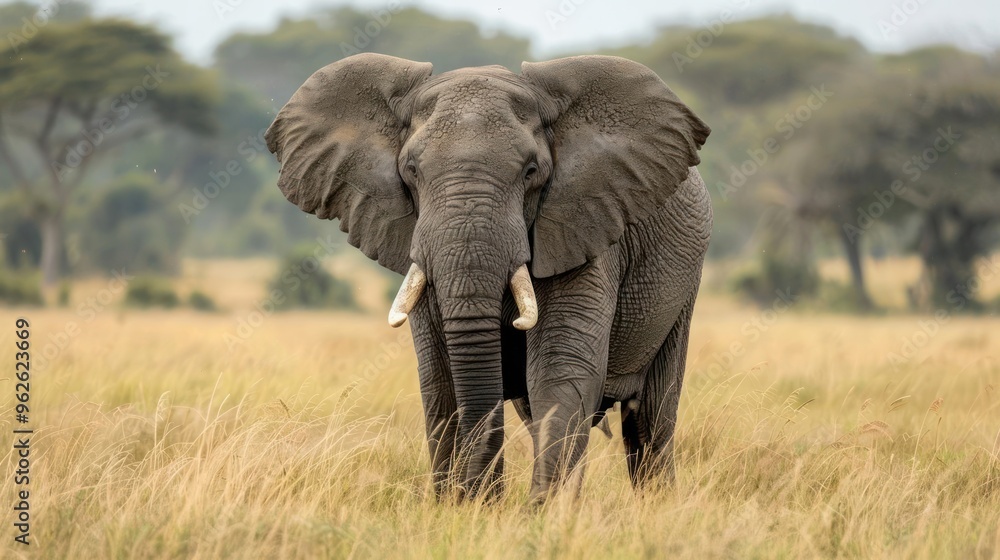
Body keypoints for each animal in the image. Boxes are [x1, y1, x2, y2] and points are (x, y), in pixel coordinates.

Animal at [265, 53, 712, 502]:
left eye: (531, 171)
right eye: (411, 170)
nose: (478, 495)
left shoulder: (583, 225)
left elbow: (559, 369)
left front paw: (540, 512)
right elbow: (440, 381)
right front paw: (463, 508)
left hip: (686, 280)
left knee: (652, 417)